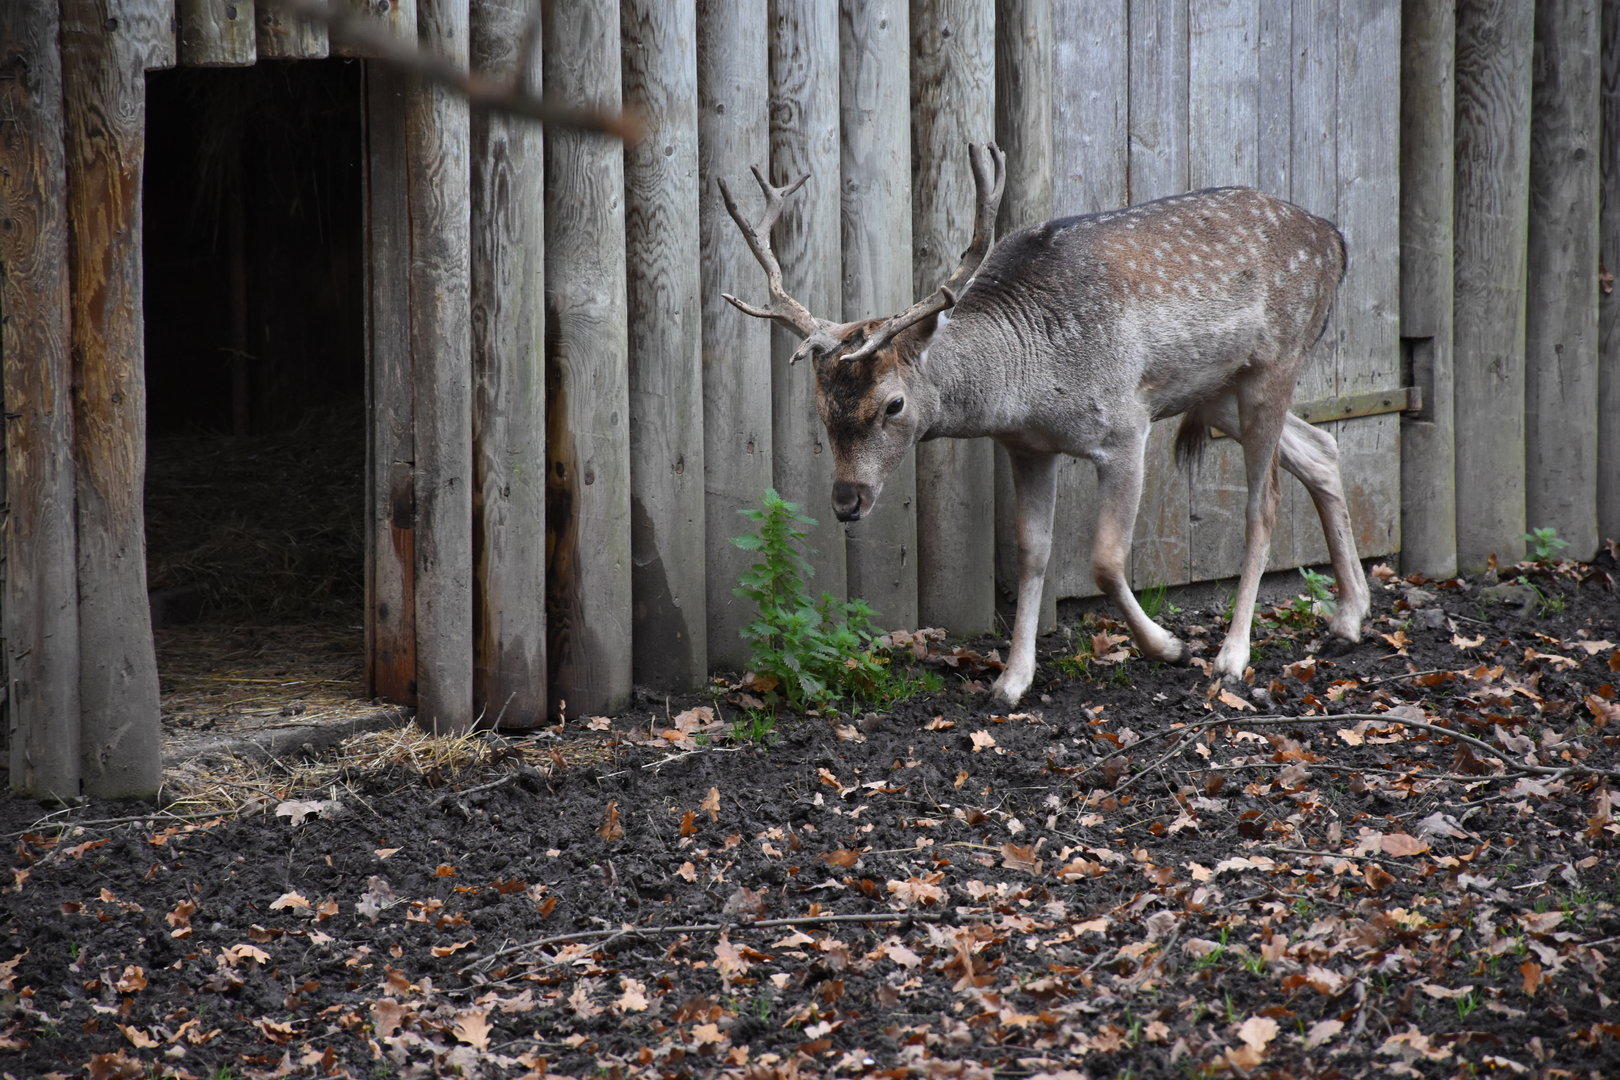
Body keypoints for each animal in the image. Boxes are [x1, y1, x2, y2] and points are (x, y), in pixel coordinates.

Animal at [718, 144, 1370, 707]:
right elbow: (1032, 552)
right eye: (821, 407)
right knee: (1321, 447)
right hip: (1217, 393)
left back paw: (1233, 656)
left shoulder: (1125, 427)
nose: (846, 501)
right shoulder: (1027, 447)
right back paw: (1350, 616)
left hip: (1275, 362)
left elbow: (1105, 558)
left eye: (893, 405)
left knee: (1264, 503)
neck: (1030, 387)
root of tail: (1336, 241)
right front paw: (1011, 681)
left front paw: (1168, 647)